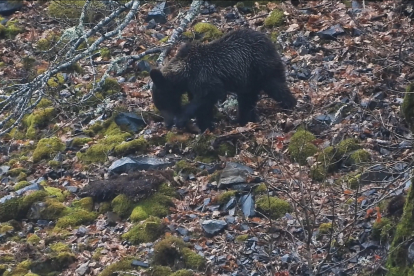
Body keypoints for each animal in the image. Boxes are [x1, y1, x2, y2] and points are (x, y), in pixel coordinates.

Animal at [149, 28, 298, 132]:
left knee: (275, 85)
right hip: (248, 80)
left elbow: (207, 96)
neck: (184, 75)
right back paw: (243, 119)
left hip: (260, 66)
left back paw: (289, 104)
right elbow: (203, 106)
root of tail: (269, 40)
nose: (167, 124)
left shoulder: (204, 76)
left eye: (162, 104)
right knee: (246, 99)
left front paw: (182, 119)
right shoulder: (194, 85)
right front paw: (205, 126)